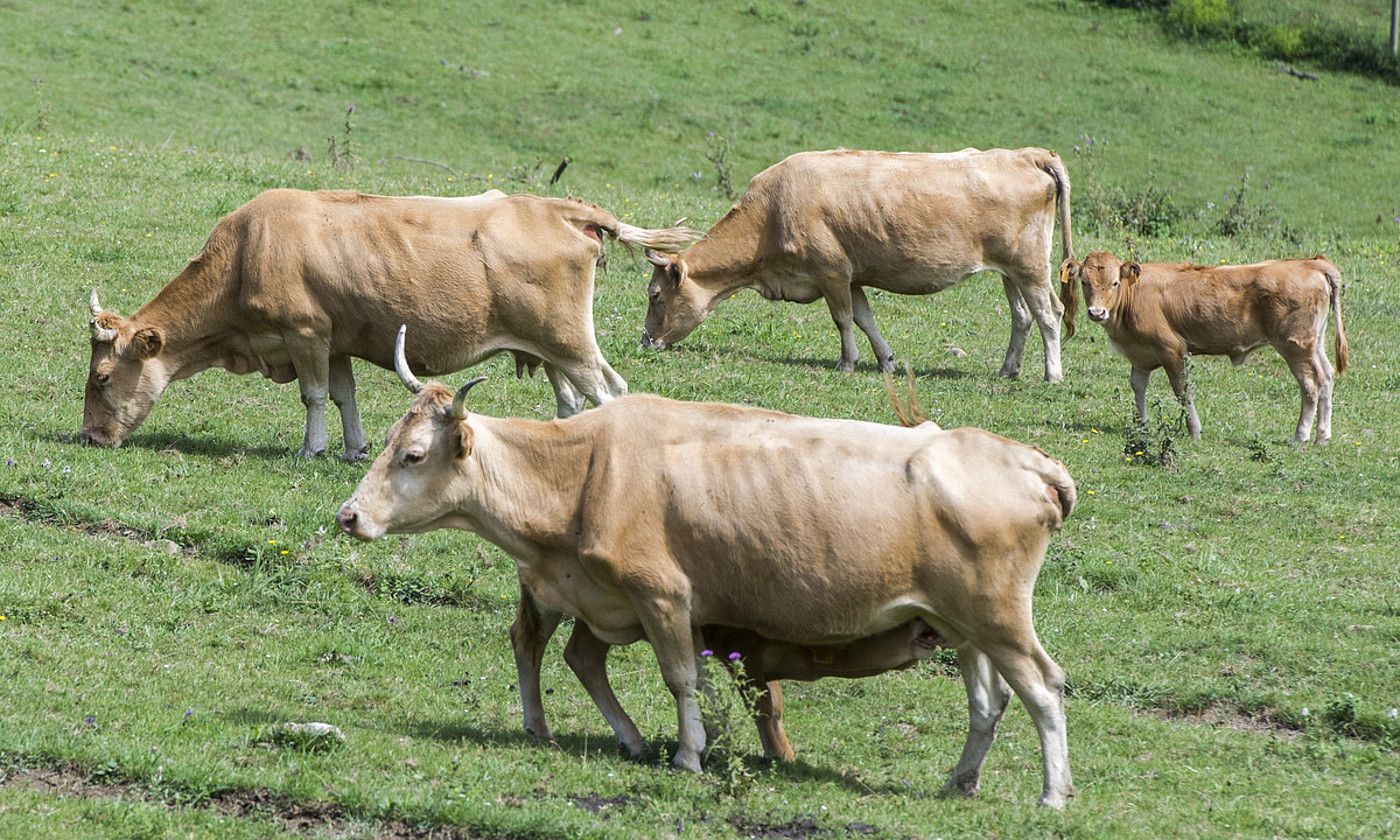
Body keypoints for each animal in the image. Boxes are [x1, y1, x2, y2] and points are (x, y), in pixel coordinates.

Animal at [81, 189, 700, 456]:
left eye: (102, 377)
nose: (88, 436)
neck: (246, 253)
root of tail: (557, 207)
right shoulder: (333, 339)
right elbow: (342, 394)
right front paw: (353, 448)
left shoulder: (304, 332)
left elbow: (312, 395)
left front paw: (312, 450)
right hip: (551, 349)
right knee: (574, 401)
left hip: (569, 341)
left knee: (608, 389)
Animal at [338, 331, 1080, 812]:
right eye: (387, 443)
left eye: (411, 455)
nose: (349, 515)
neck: (583, 469)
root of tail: (1026, 459)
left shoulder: (663, 594)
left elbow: (680, 677)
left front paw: (689, 755)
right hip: (958, 623)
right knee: (988, 702)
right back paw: (960, 782)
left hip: (998, 617)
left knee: (1043, 688)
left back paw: (1052, 794)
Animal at [1058, 250, 1344, 442]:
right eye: (1084, 282)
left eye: (1114, 282)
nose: (1097, 312)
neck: (1134, 295)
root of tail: (1310, 262)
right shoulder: (1141, 355)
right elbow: (1138, 386)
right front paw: (1142, 425)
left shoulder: (1172, 350)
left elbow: (1182, 391)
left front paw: (1194, 430)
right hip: (1314, 344)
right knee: (1327, 376)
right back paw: (1322, 435)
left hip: (1295, 346)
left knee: (1311, 384)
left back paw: (1301, 436)